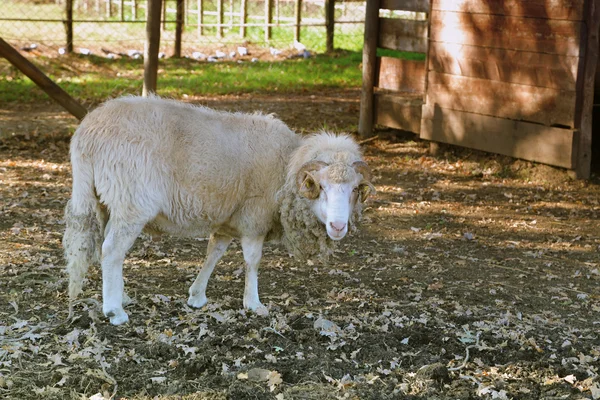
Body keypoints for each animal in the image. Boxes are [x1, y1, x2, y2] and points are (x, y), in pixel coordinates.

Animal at [65, 96, 376, 324]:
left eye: (354, 189)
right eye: (319, 186)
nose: (338, 227)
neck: (285, 164)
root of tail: (86, 134)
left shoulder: (229, 219)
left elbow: (213, 253)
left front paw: (196, 296)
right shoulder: (254, 217)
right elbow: (252, 261)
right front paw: (253, 303)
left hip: (106, 201)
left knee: (104, 248)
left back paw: (120, 297)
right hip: (131, 202)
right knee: (111, 250)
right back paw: (115, 311)